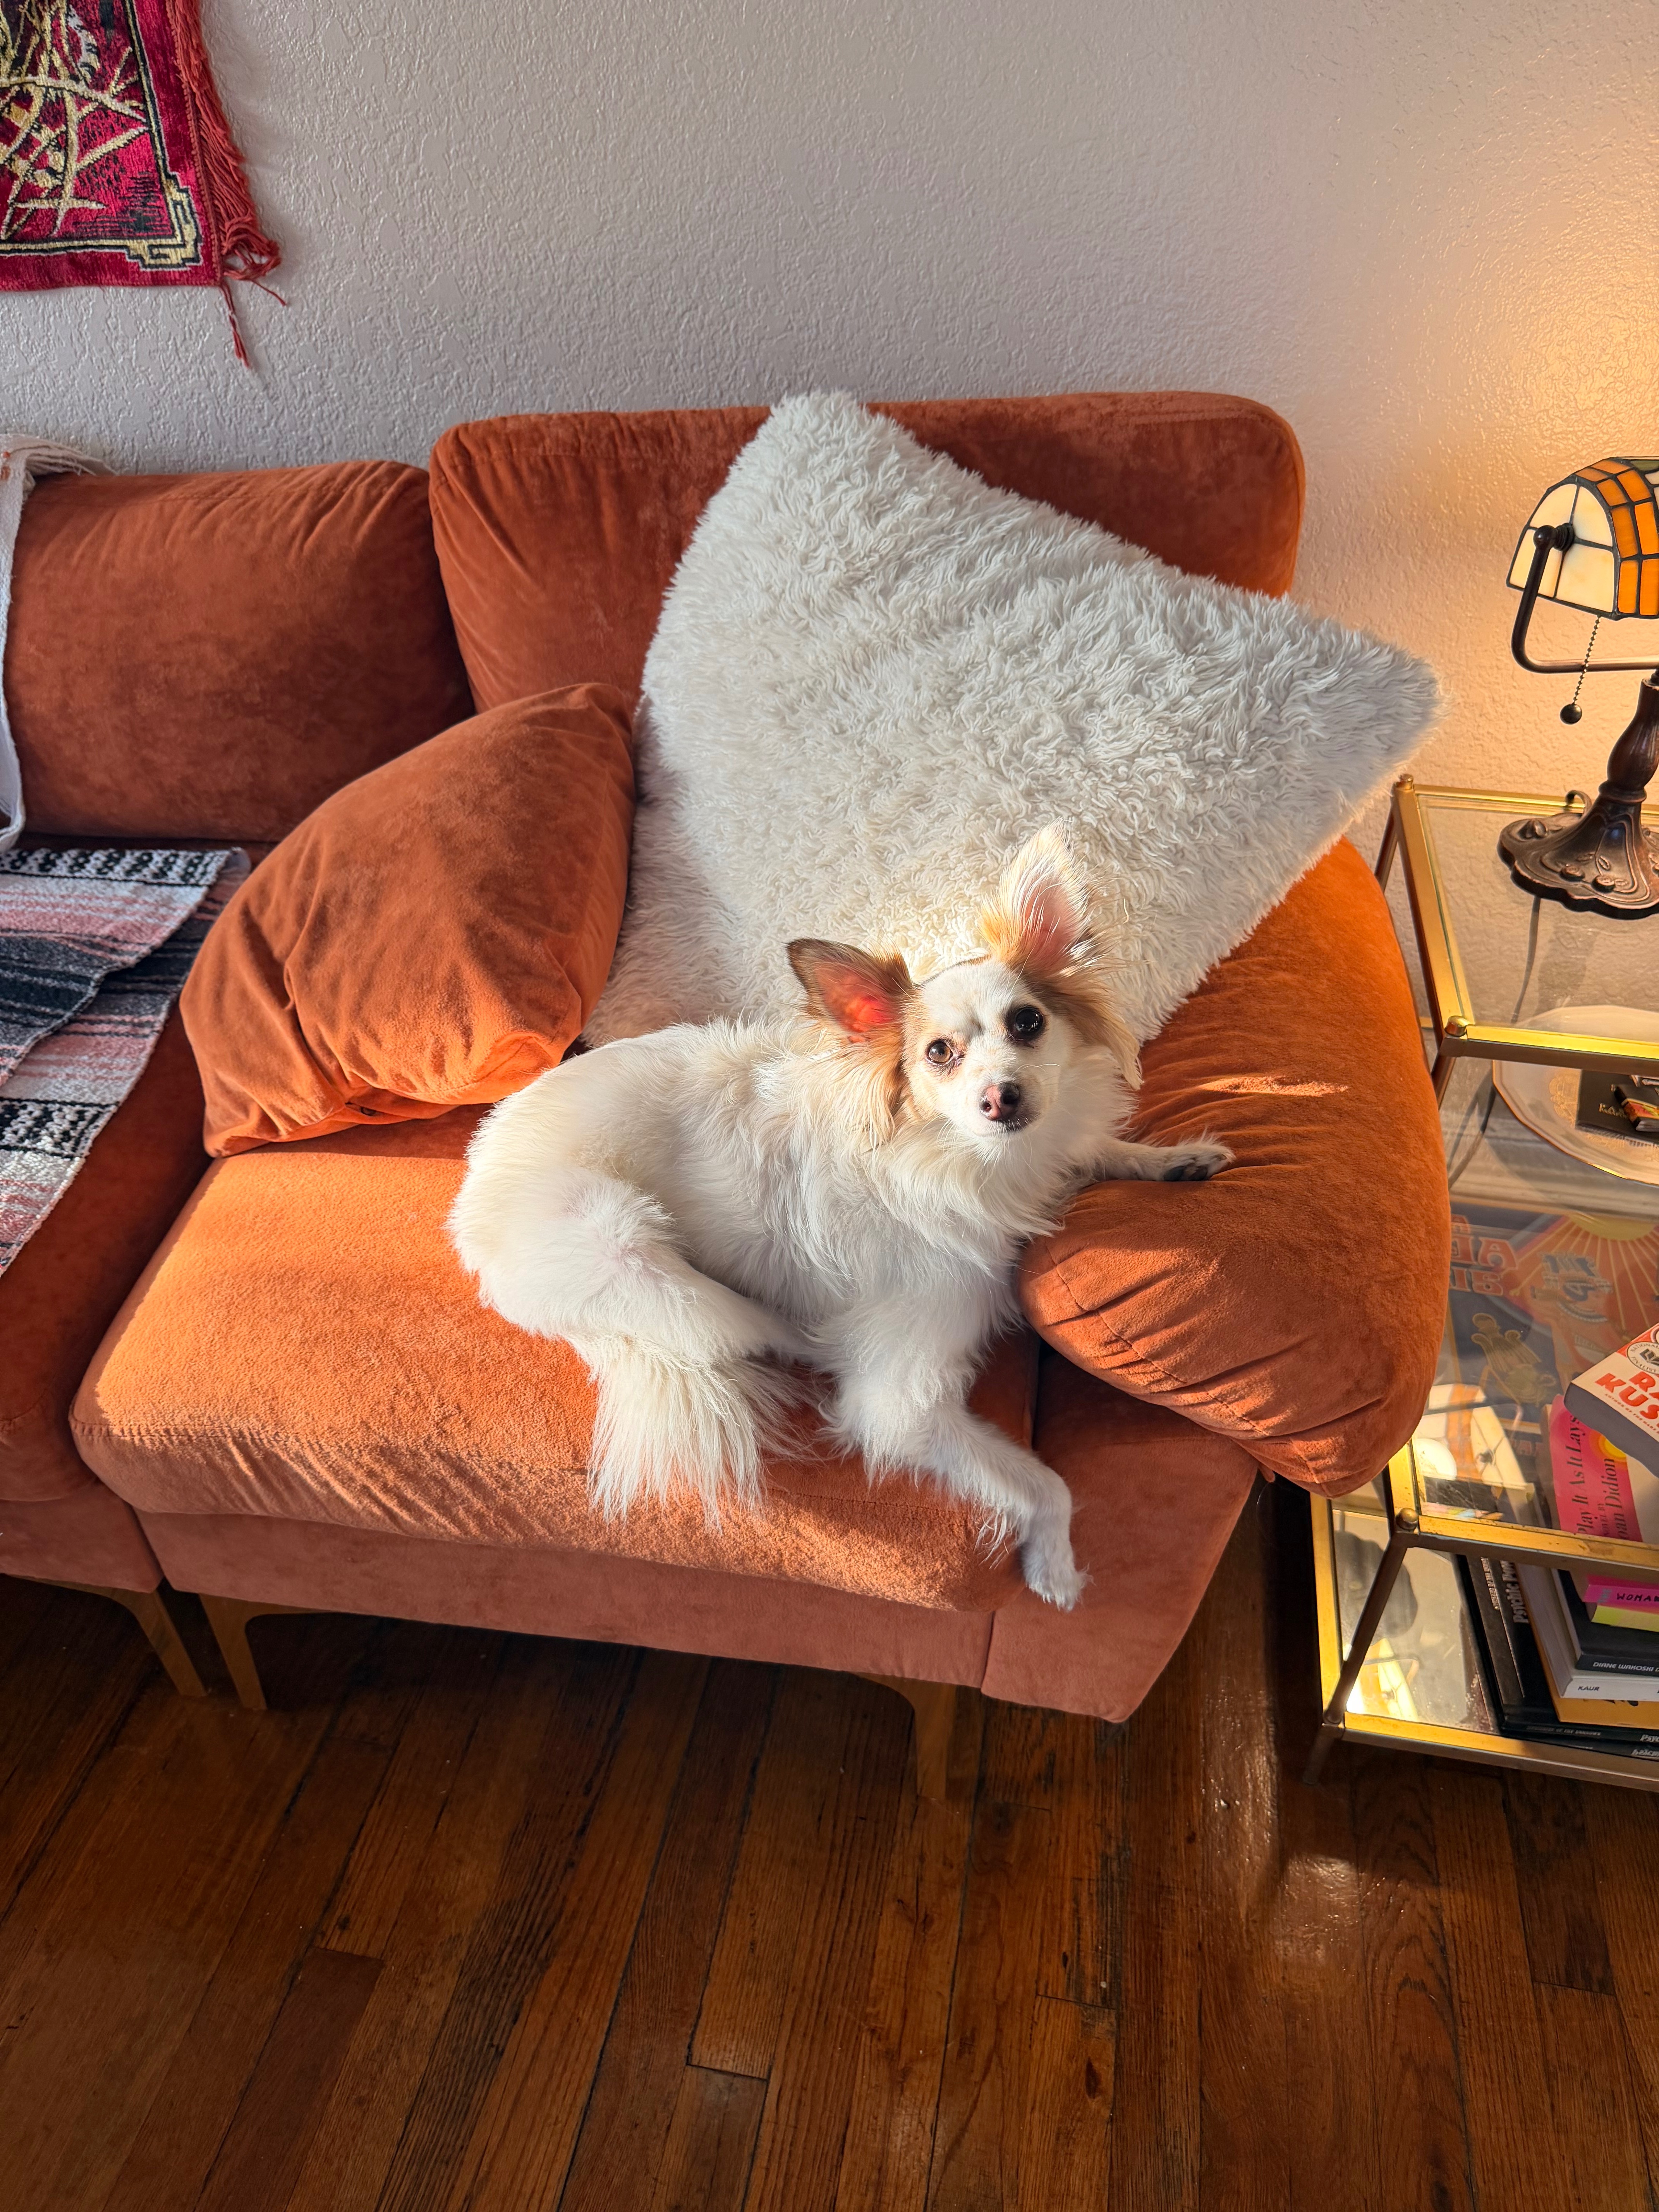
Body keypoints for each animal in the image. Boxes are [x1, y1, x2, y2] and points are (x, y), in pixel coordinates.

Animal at [449, 828, 1228, 1606]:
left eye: (1028, 1023)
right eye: (937, 1054)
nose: (1000, 1098)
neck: (974, 1164)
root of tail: (473, 1190)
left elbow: (1094, 1148)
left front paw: (1171, 1158)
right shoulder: (900, 1405)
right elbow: (1045, 1484)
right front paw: (1056, 1568)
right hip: (648, 1262)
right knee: (758, 1327)